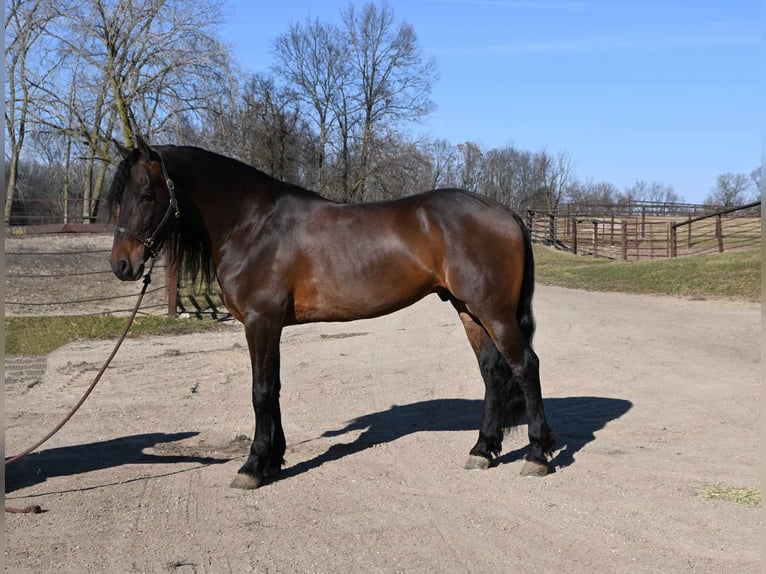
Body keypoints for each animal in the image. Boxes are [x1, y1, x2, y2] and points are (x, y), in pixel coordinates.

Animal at [106, 136, 560, 490]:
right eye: (120, 197)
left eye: (147, 194)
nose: (122, 265)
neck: (253, 225)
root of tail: (507, 213)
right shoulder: (271, 327)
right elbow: (274, 389)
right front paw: (273, 461)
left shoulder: (260, 322)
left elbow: (260, 392)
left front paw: (252, 467)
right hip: (469, 310)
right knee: (493, 372)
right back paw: (483, 449)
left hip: (493, 311)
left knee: (526, 365)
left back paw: (537, 455)